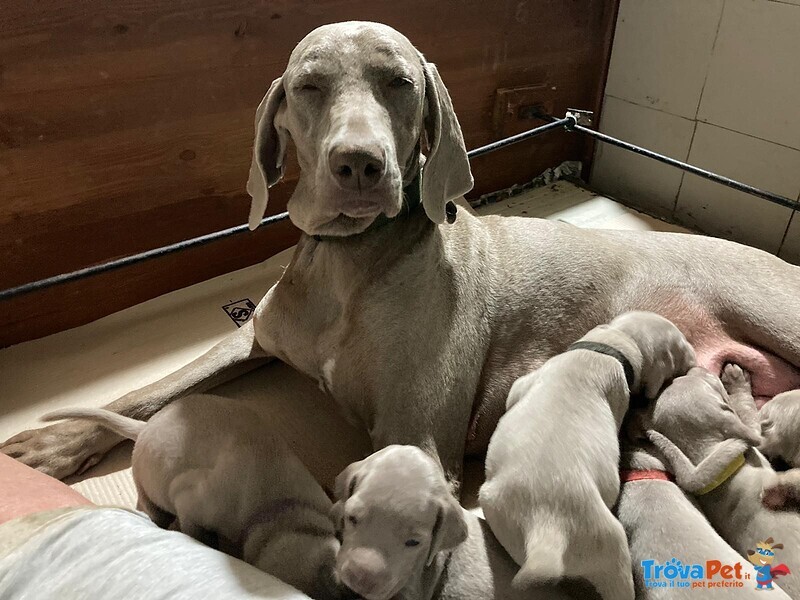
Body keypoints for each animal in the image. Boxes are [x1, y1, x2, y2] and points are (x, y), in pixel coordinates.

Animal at [4, 21, 800, 486]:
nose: (359, 164)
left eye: (399, 81)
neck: (349, 263)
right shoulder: (254, 338)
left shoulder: (414, 441)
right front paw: (54, 443)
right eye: (308, 84)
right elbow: (147, 390)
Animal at [43, 394, 350, 600]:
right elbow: (199, 534)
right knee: (149, 506)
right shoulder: (190, 503)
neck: (282, 515)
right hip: (150, 487)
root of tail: (145, 425)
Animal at [478, 312, 696, 596]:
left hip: (500, 513)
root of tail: (546, 530)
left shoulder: (523, 383)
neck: (609, 343)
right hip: (611, 551)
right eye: (680, 347)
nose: (695, 359)